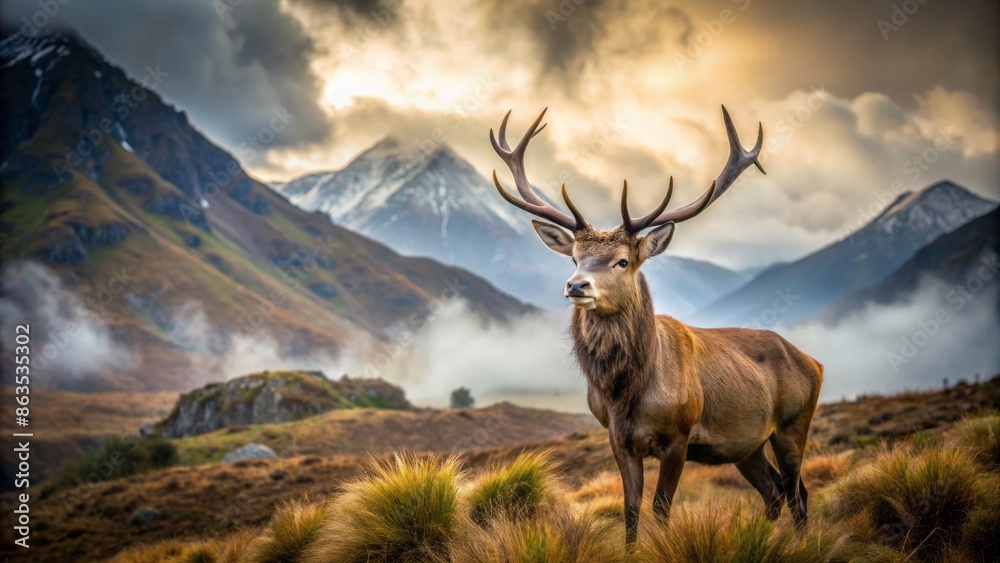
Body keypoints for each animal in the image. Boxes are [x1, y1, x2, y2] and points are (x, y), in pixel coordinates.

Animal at [489, 107, 823, 545]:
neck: (625, 392)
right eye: (574, 257)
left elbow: (661, 509)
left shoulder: (679, 436)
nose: (576, 285)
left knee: (798, 491)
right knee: (776, 491)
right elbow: (630, 509)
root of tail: (815, 363)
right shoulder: (618, 439)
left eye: (622, 261)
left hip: (793, 422)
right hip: (747, 444)